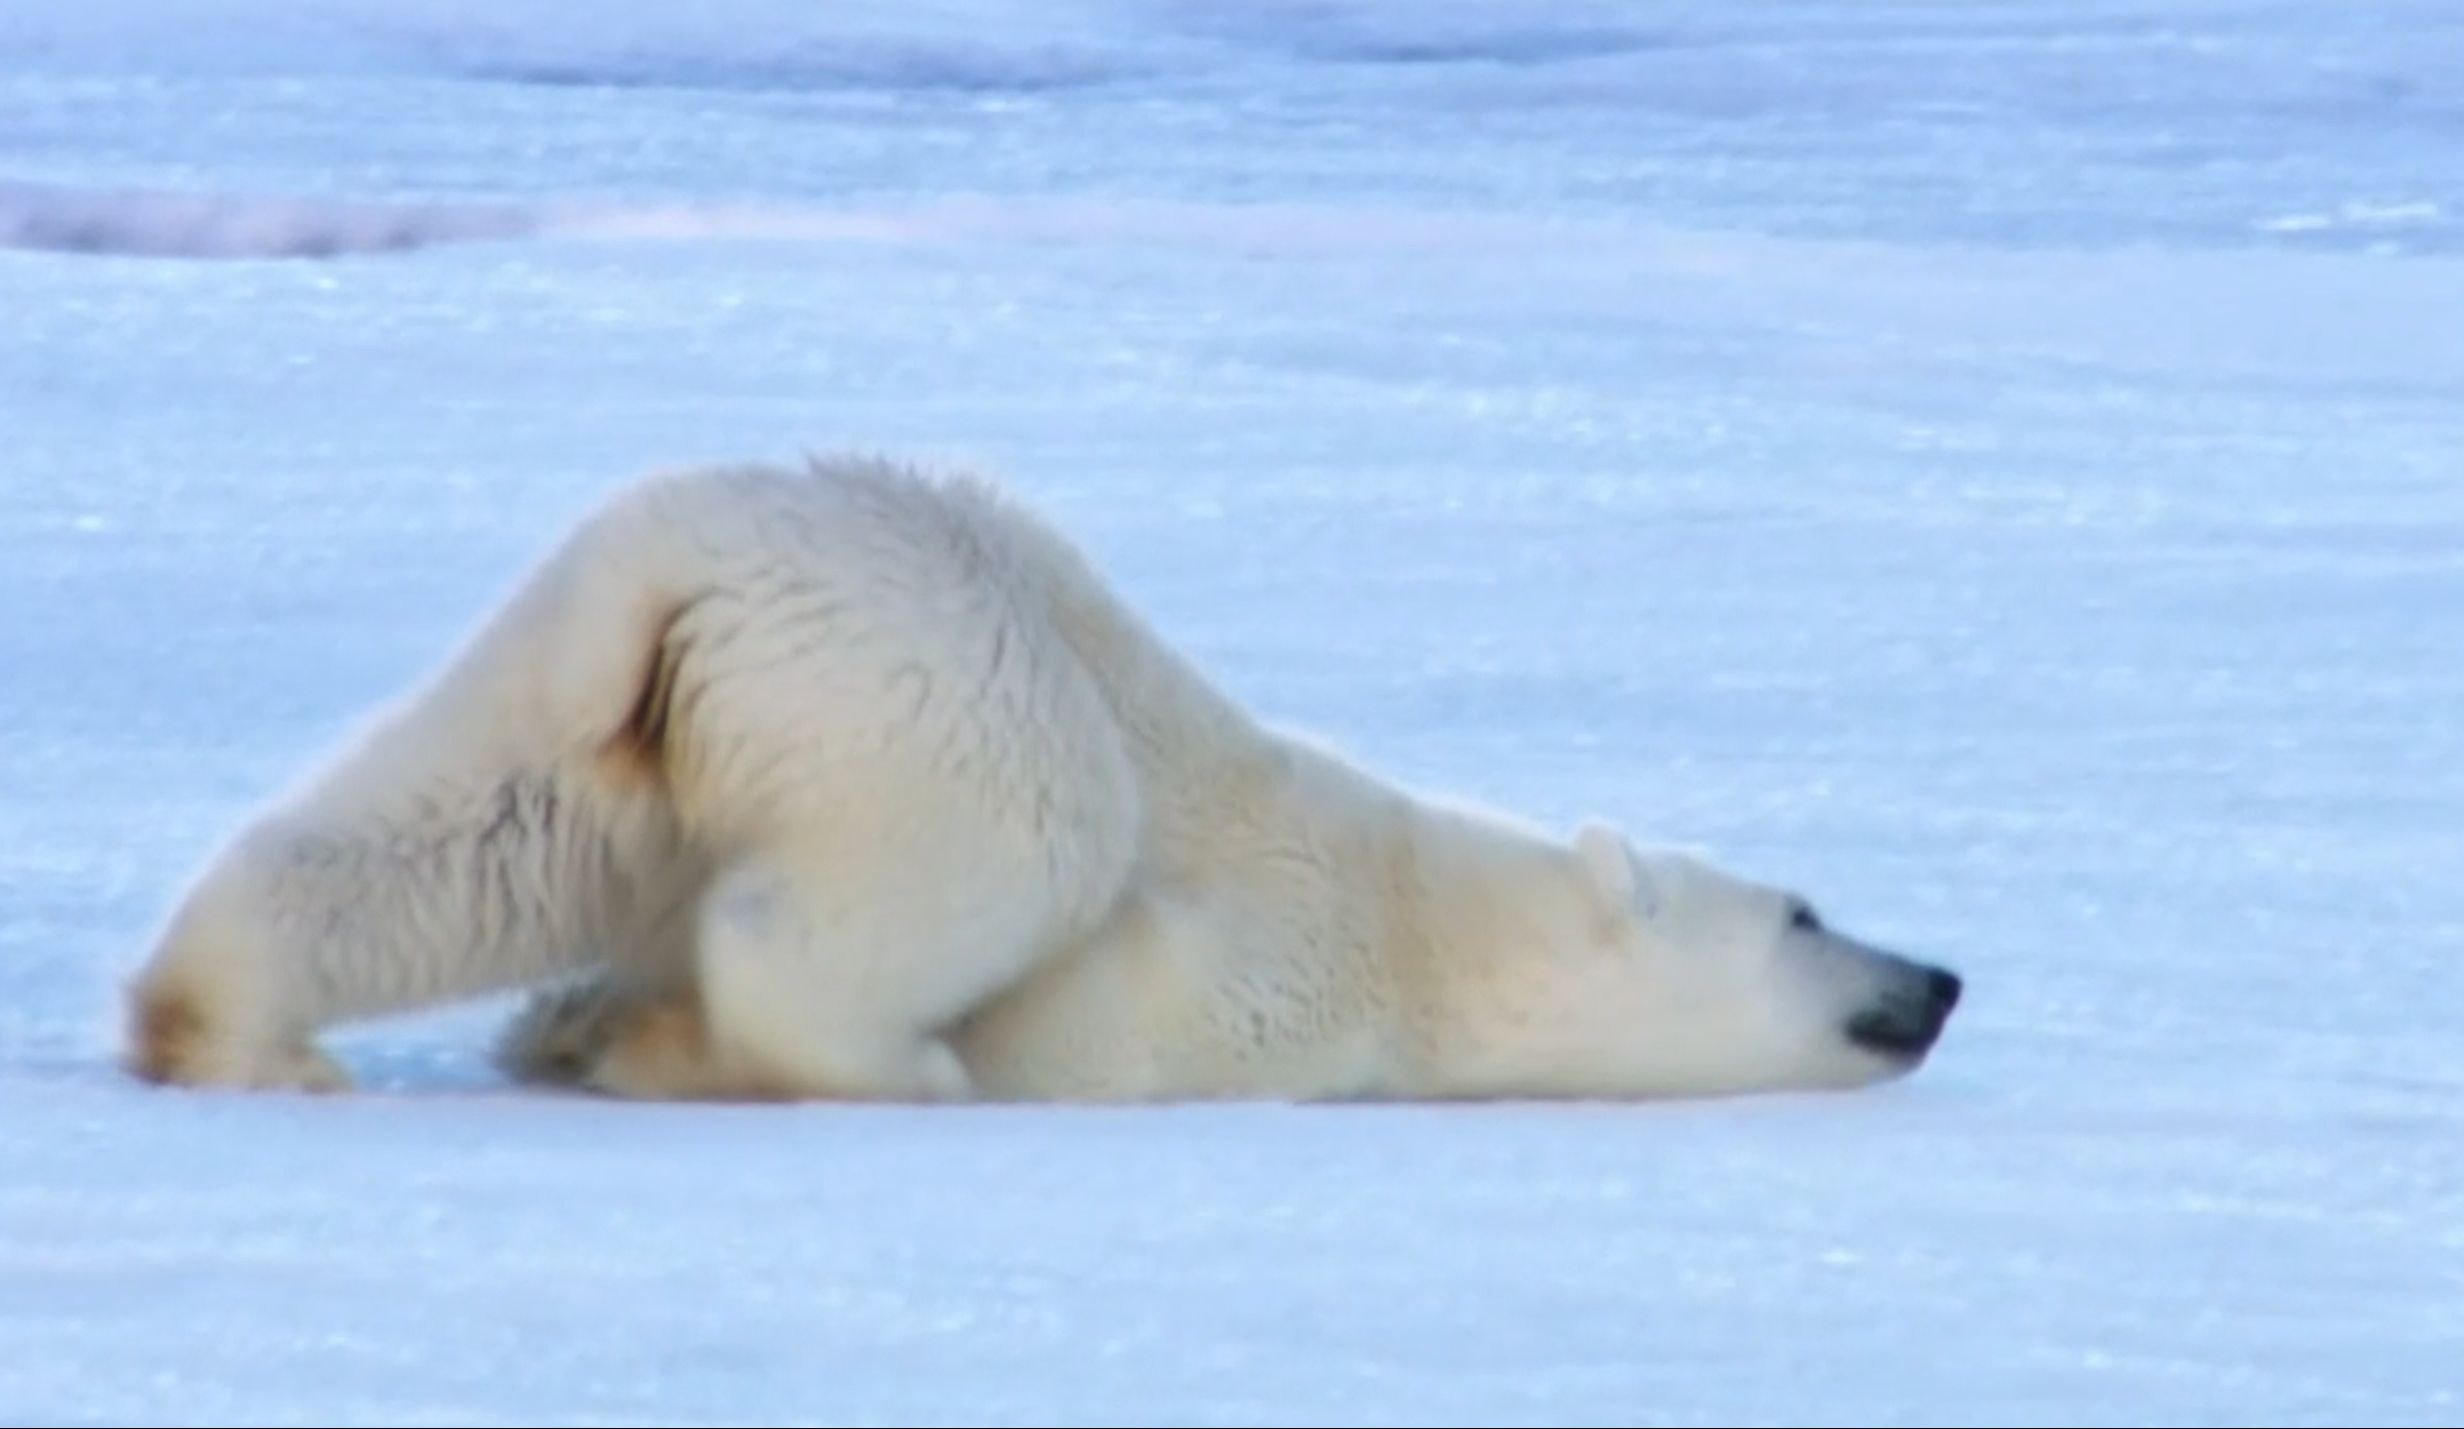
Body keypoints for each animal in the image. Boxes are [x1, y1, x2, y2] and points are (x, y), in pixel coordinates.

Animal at [125, 453, 1961, 1098]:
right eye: (1805, 908)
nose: (1941, 975)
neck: (1429, 922)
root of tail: (687, 565)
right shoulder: (1242, 976)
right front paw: (634, 1041)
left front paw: (572, 1031)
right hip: (935, 685)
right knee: (1001, 856)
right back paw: (883, 1061)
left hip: (607, 693)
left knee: (469, 835)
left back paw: (232, 1031)